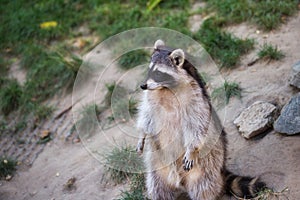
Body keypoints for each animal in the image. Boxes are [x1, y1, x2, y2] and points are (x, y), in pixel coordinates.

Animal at [136, 39, 264, 199]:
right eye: (149, 71)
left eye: (159, 73)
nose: (143, 85)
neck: (165, 88)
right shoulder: (151, 99)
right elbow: (146, 116)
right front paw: (141, 135)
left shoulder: (195, 98)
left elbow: (197, 124)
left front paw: (191, 149)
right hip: (158, 171)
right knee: (158, 189)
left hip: (206, 168)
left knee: (203, 188)